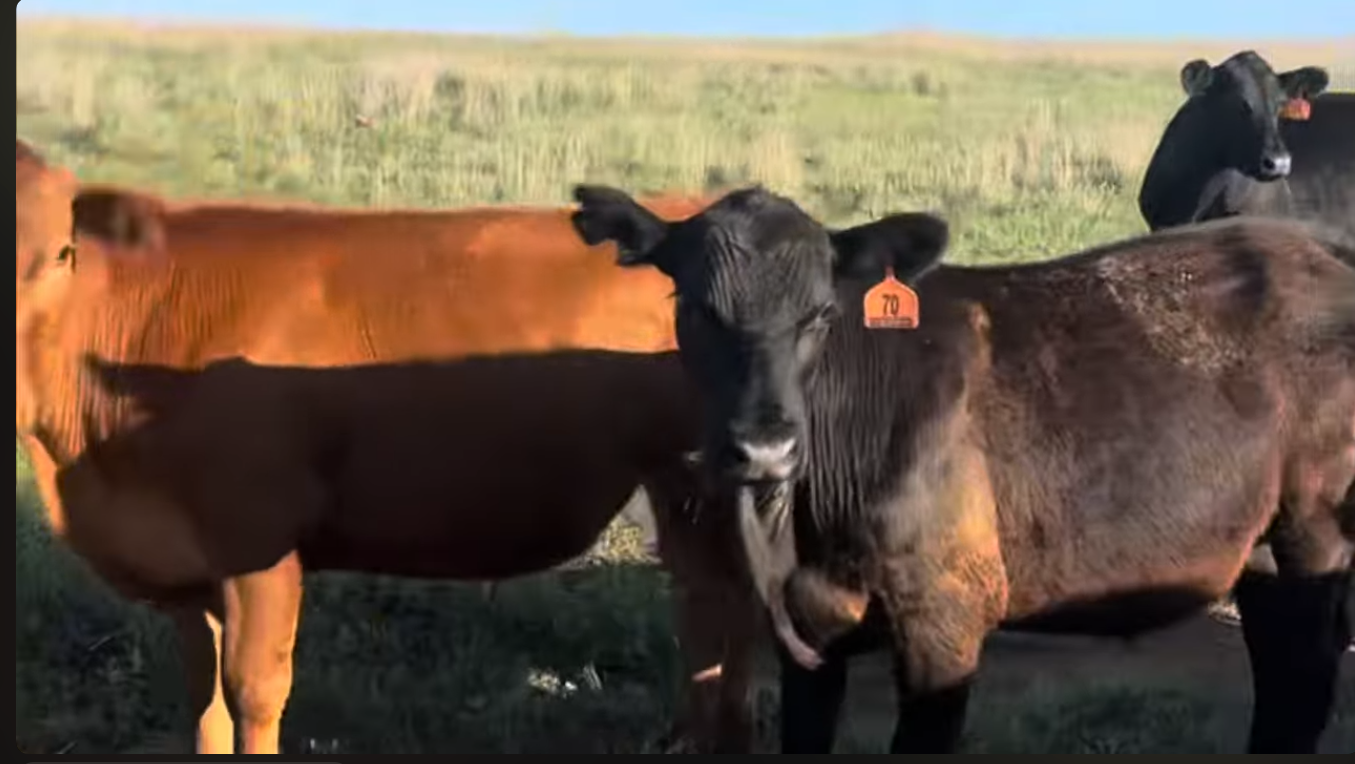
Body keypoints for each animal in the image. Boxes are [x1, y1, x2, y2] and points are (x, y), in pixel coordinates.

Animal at [15, 140, 760, 754]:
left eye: (61, 253)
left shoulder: (259, 543)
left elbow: (253, 693)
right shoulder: (187, 564)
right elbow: (204, 703)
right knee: (706, 610)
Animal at [570, 182, 1355, 753]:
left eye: (821, 313)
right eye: (693, 306)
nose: (765, 447)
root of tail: (1322, 248)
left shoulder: (946, 618)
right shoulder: (809, 637)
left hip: (1317, 534)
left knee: (1309, 676)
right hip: (1263, 551)